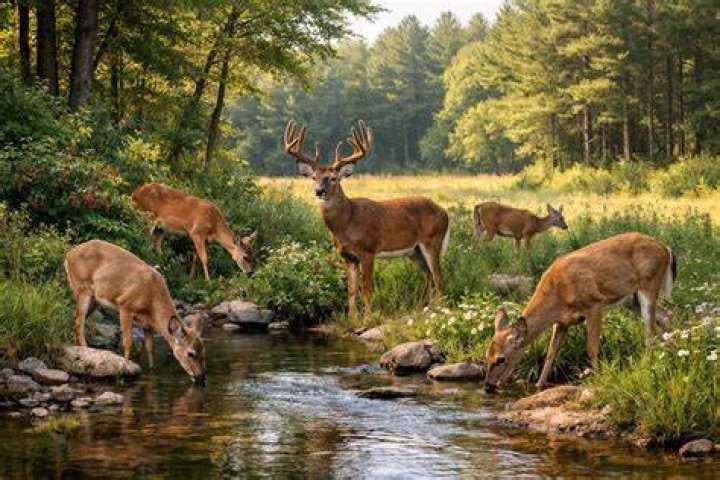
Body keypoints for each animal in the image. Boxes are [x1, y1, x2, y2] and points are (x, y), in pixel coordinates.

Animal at [64, 239, 206, 385]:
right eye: (191, 353)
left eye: (203, 351)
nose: (201, 377)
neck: (152, 299)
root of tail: (70, 254)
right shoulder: (125, 306)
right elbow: (128, 342)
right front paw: (125, 369)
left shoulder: (148, 325)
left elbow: (151, 349)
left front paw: (152, 371)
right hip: (82, 287)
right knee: (79, 320)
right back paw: (86, 350)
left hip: (95, 299)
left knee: (75, 316)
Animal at [284, 119, 450, 318]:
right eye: (313, 177)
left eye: (333, 178)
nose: (319, 191)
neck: (347, 222)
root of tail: (444, 212)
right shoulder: (347, 256)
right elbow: (351, 290)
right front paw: (352, 319)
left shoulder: (368, 251)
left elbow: (366, 289)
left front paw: (367, 318)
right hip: (414, 251)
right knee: (428, 276)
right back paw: (421, 308)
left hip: (432, 241)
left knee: (439, 277)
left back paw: (438, 310)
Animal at [483, 232, 676, 393]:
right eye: (487, 355)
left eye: (501, 359)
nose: (488, 386)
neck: (558, 294)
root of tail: (665, 247)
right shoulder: (561, 322)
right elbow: (551, 352)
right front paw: (539, 384)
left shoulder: (595, 304)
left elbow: (592, 348)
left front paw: (597, 379)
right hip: (632, 299)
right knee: (666, 315)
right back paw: (670, 352)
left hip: (649, 284)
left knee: (649, 332)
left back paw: (646, 364)